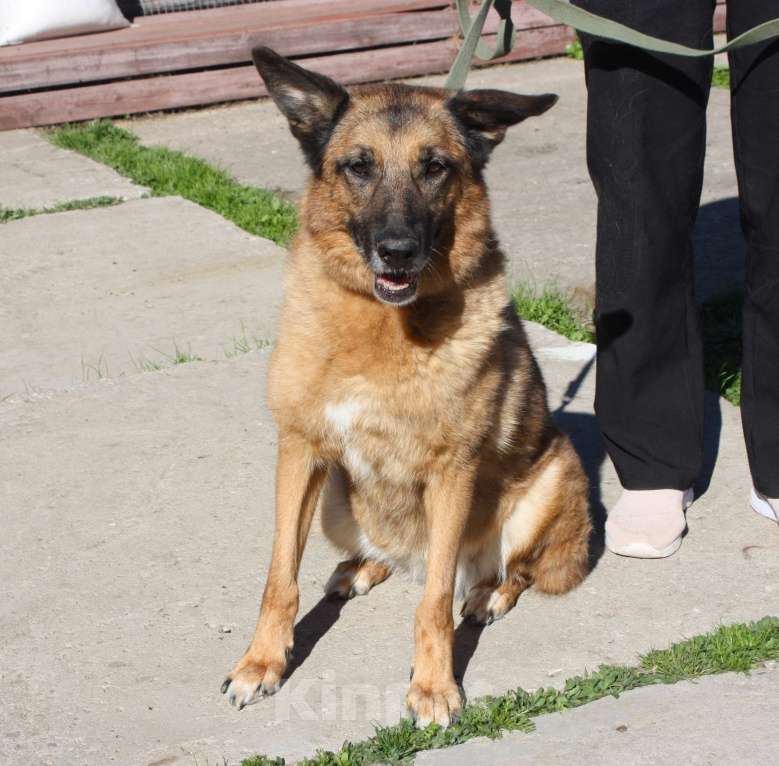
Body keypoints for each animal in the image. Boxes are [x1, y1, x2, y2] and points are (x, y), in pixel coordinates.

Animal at [222, 48, 596, 732]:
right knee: (393, 555)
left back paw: (488, 594)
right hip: (336, 503)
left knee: (507, 570)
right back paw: (363, 567)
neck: (379, 328)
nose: (396, 251)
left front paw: (433, 687)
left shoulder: (453, 473)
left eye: (436, 167)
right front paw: (261, 662)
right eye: (358, 166)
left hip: (551, 477)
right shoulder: (300, 451)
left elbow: (434, 603)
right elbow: (278, 577)